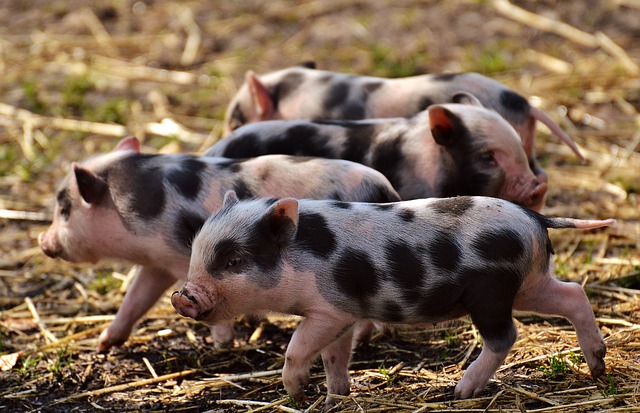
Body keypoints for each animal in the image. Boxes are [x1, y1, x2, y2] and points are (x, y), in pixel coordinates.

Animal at [38, 136, 401, 352]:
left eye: (65, 210)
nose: (43, 242)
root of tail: (385, 190)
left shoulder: (180, 257)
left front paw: (223, 344)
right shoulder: (157, 263)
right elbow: (135, 300)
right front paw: (104, 344)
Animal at [173, 191, 612, 406]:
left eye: (234, 261)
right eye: (196, 253)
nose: (182, 297)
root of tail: (534, 218)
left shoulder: (328, 311)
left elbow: (298, 349)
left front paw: (297, 393)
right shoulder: (344, 315)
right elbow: (335, 356)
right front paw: (336, 396)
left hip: (490, 292)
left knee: (505, 336)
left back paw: (460, 393)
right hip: (529, 283)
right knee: (574, 294)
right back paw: (597, 369)